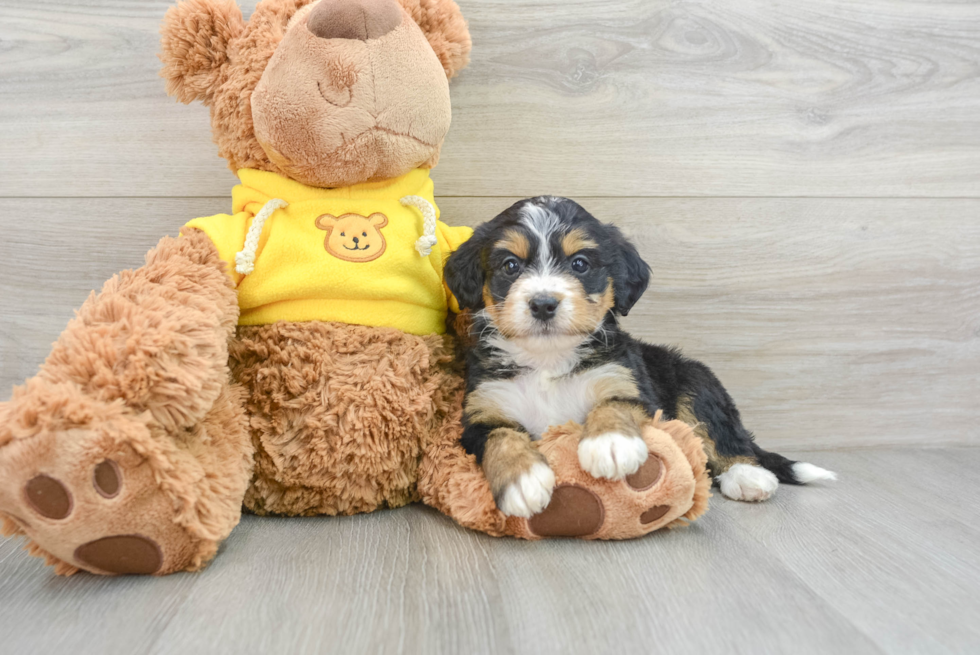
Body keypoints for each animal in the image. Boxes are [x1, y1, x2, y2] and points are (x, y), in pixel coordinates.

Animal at [444, 197, 836, 520]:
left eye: (580, 264)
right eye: (510, 266)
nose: (543, 303)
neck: (548, 360)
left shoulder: (628, 382)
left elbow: (614, 404)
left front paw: (610, 444)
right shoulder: (482, 411)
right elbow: (501, 438)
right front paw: (522, 480)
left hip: (697, 382)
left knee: (722, 435)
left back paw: (747, 475)